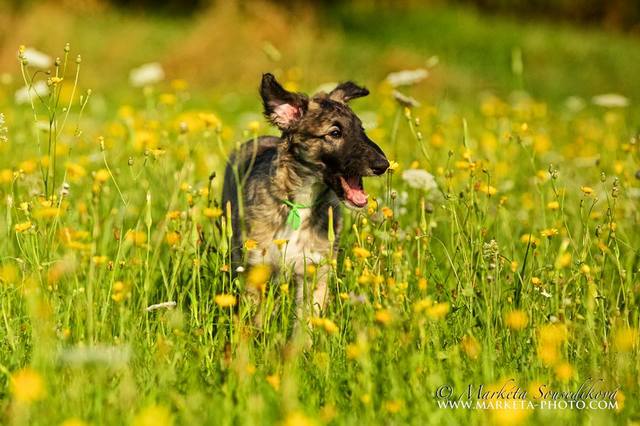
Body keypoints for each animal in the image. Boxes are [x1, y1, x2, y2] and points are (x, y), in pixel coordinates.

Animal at [220, 72, 390, 326]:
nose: (383, 165)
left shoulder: (314, 270)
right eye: (335, 133)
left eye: (362, 130)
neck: (300, 204)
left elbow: (306, 322)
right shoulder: (256, 269)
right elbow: (256, 321)